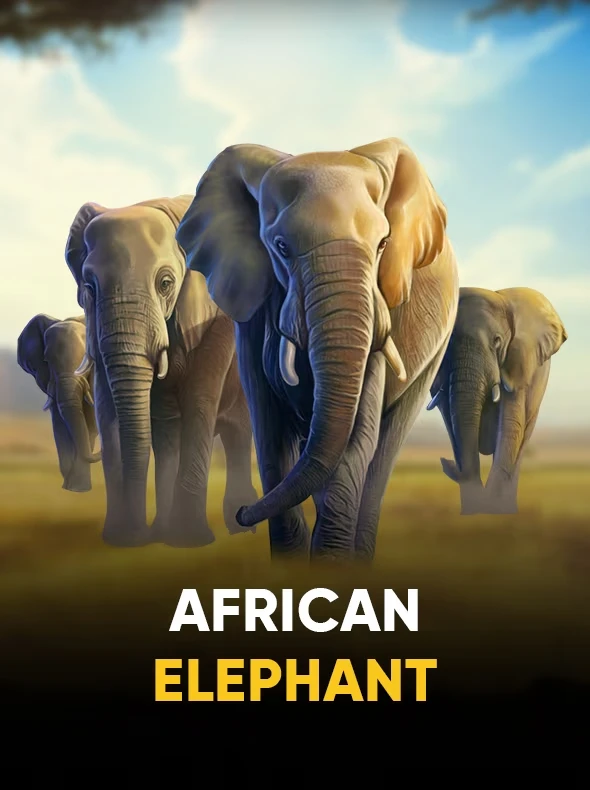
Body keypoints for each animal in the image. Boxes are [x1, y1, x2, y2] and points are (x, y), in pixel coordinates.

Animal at [17, 313, 100, 492]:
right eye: (47, 360)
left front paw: (77, 489)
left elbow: (89, 424)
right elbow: (60, 423)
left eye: (87, 360)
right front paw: (70, 487)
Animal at [64, 194, 258, 548]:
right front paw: (122, 538)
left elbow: (199, 401)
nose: (136, 535)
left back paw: (238, 527)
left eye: (166, 283)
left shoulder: (217, 319)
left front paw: (188, 541)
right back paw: (161, 531)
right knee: (169, 439)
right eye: (90, 287)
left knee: (238, 433)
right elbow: (107, 407)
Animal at [176, 137, 459, 563]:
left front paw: (330, 565)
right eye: (280, 247)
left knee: (383, 450)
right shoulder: (252, 312)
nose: (242, 513)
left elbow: (358, 436)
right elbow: (270, 431)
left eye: (383, 244)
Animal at [426, 286, 568, 515]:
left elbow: (511, 424)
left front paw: (495, 511)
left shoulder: (518, 363)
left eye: (497, 341)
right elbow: (452, 424)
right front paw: (474, 511)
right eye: (447, 346)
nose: (445, 462)